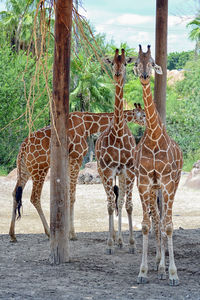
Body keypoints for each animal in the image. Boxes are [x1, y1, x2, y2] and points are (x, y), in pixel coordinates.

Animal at [9, 105, 145, 241]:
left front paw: (68, 232)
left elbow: (68, 195)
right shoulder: (76, 159)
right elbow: (72, 196)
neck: (87, 125)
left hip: (24, 169)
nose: (146, 123)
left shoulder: (69, 163)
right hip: (39, 169)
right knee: (34, 197)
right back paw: (48, 232)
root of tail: (23, 148)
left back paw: (12, 234)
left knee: (15, 192)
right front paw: (72, 234)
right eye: (143, 114)